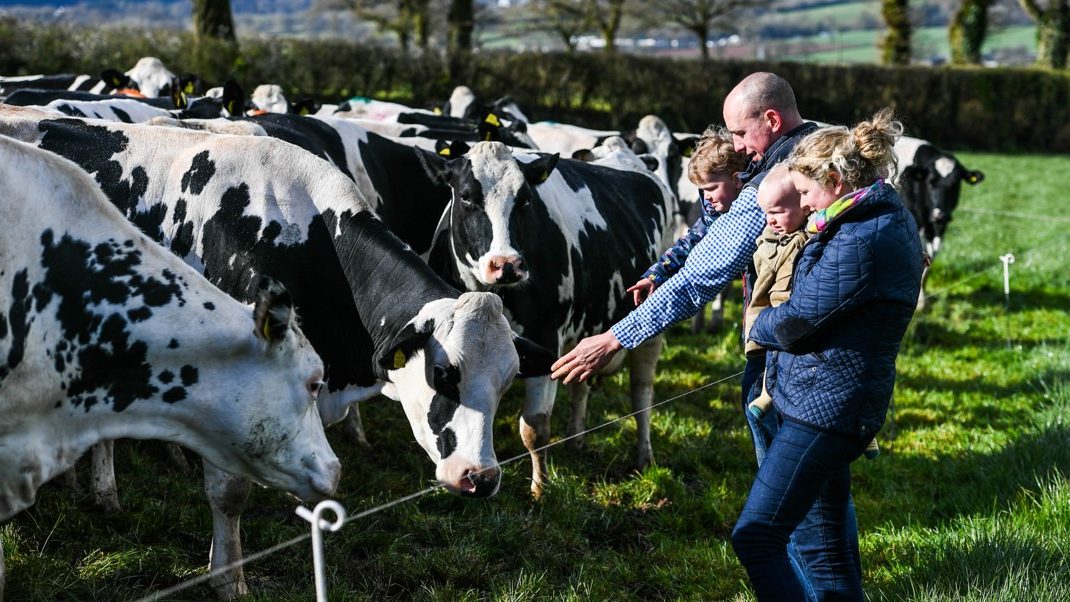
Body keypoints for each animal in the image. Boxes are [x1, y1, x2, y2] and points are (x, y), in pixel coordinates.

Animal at [413, 139, 671, 496]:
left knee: (641, 392)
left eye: (525, 200)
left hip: (651, 325)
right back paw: (576, 438)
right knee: (581, 385)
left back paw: (644, 455)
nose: (506, 264)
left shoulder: (546, 337)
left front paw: (539, 489)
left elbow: (534, 429)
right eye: (466, 196)